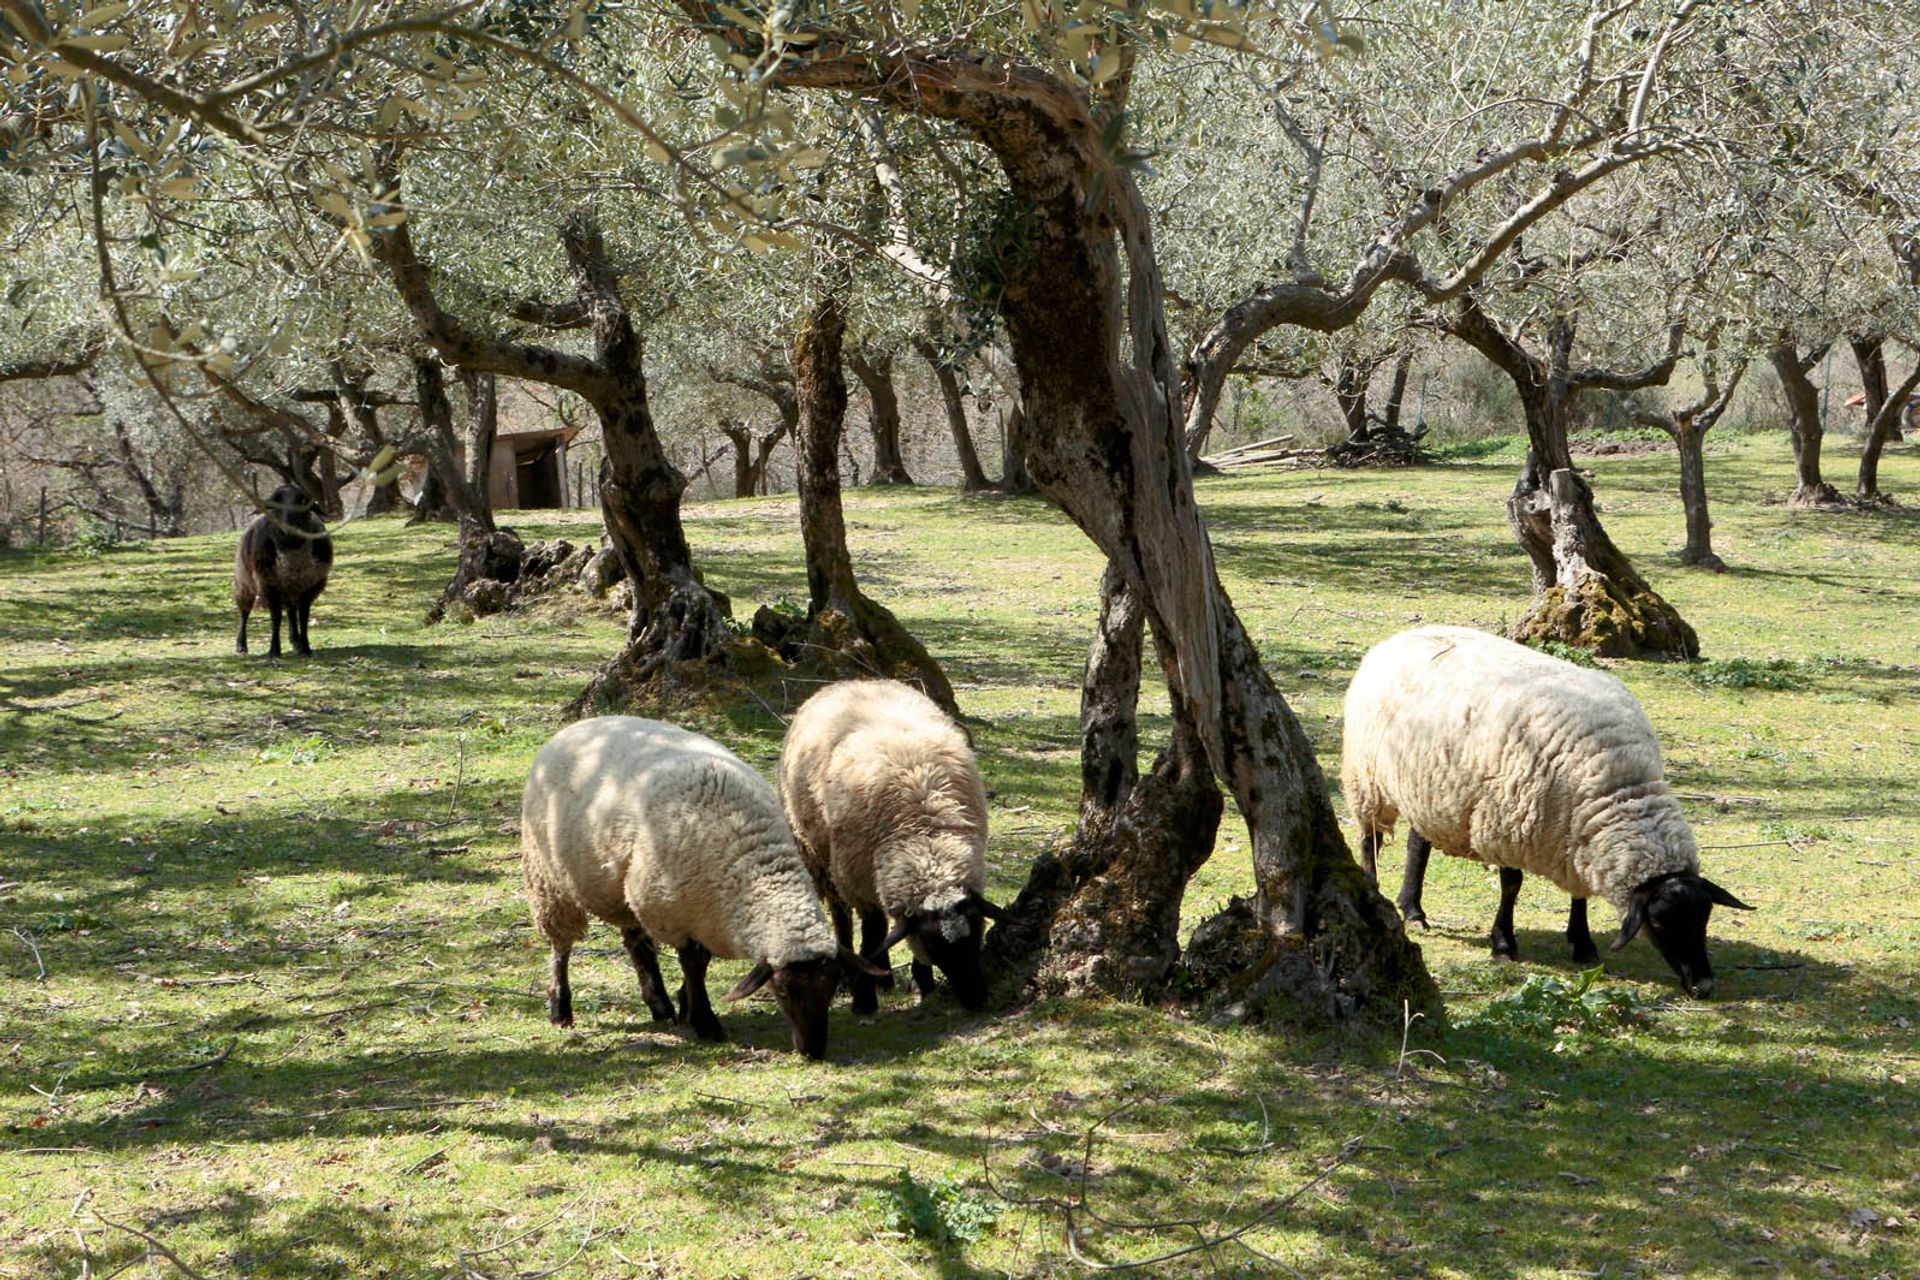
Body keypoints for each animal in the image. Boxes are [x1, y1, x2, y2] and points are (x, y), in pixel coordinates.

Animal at [234, 483, 336, 656]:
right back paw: (241, 645)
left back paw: (295, 639)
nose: (288, 527)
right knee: (244, 613)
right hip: (244, 582)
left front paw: (305, 647)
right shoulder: (269, 584)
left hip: (291, 587)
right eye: (275, 502)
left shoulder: (309, 587)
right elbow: (276, 618)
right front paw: (274, 650)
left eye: (303, 501)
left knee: (291, 611)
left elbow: (303, 616)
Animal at [522, 710, 887, 1059]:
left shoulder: (704, 912)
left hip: (624, 888)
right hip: (549, 880)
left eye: (832, 984)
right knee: (561, 947)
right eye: (782, 990)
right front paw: (705, 1022)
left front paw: (686, 1007)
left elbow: (700, 962)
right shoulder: (674, 913)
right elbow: (693, 965)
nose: (812, 1051)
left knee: (636, 943)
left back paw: (660, 1004)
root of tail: (577, 726)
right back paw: (560, 1009)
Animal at [775, 675, 1006, 1013]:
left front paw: (922, 982)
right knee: (842, 915)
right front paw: (864, 1000)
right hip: (819, 856)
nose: (976, 999)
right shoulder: (855, 877)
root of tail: (854, 681)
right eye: (934, 944)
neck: (924, 832)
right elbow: (873, 933)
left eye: (978, 931)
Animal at [1344, 625, 1751, 997]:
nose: (1704, 986)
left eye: (1705, 919)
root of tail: (1403, 634)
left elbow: (1579, 893)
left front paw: (1583, 943)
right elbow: (1512, 885)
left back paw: (1413, 908)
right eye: (1661, 924)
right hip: (1367, 778)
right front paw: (1503, 943)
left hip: (1430, 789)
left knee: (1418, 843)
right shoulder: (1505, 820)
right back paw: (1376, 890)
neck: (1619, 788)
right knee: (1369, 840)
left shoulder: (1576, 832)